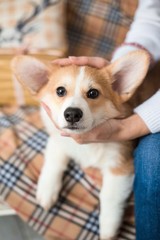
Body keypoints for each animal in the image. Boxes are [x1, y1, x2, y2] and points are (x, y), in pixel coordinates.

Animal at [11, 51, 150, 240]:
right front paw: (46, 190)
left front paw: (108, 229)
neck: (84, 145)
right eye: (60, 91)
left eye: (93, 93)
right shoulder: (57, 140)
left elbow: (109, 197)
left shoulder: (121, 164)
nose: (72, 114)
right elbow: (53, 162)